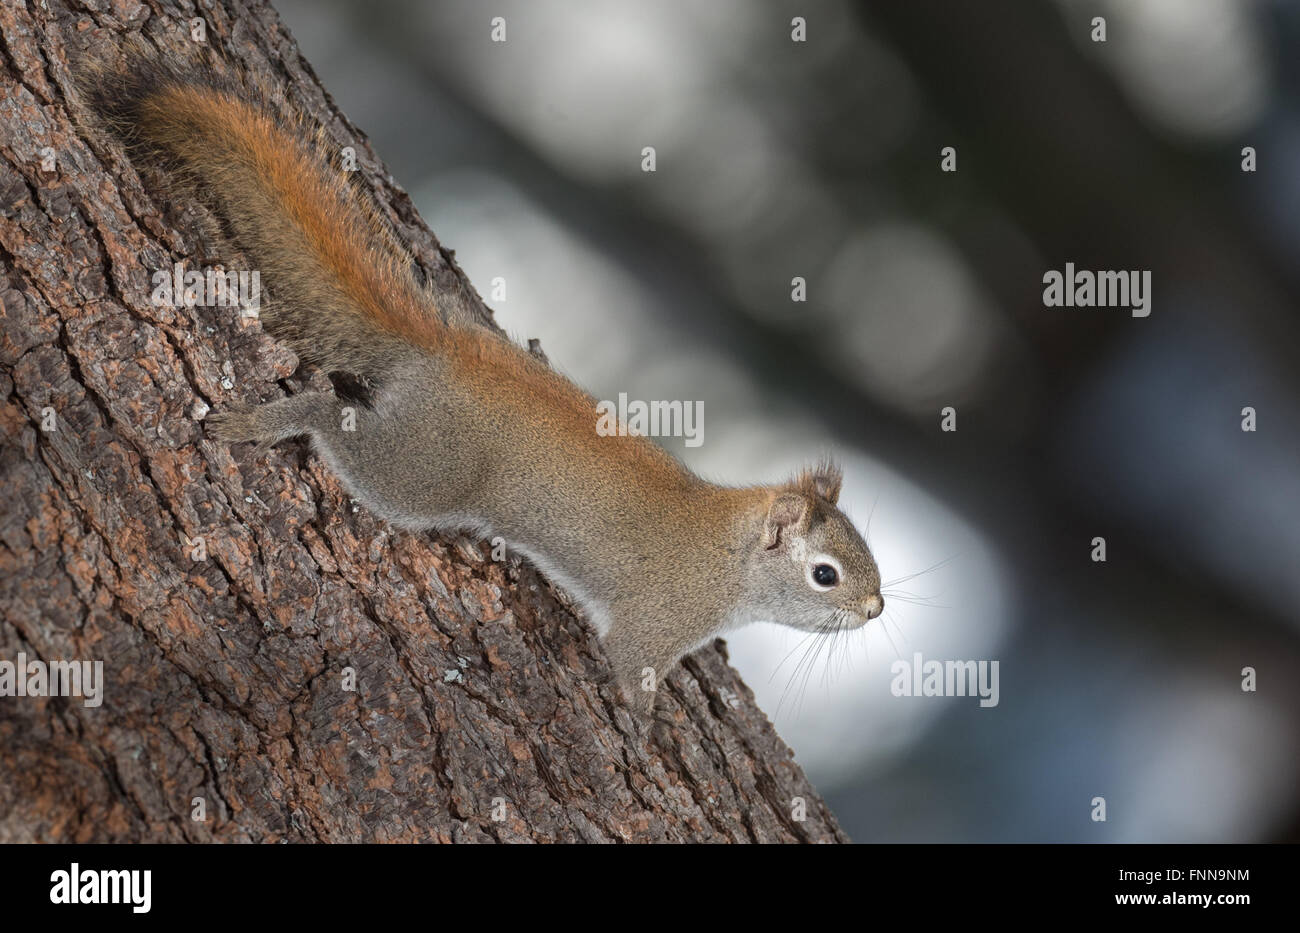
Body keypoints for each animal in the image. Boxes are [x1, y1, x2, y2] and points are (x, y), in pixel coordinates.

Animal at [83, 54, 883, 722]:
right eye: (825, 574)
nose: (876, 609)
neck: (728, 556)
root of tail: (445, 353)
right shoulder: (655, 621)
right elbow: (632, 671)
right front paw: (643, 721)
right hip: (421, 473)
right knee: (335, 421)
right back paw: (268, 422)